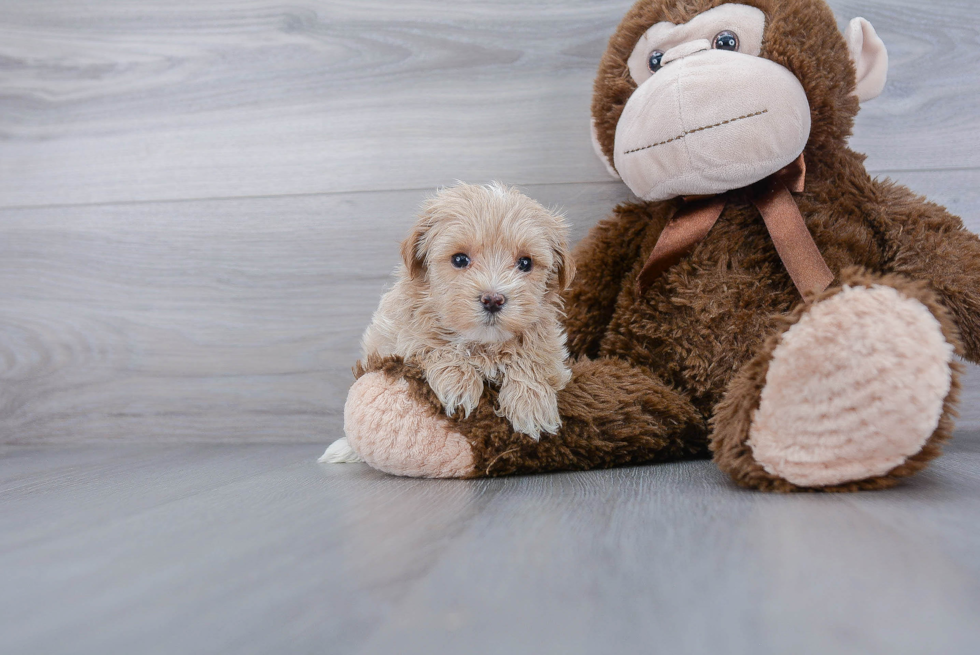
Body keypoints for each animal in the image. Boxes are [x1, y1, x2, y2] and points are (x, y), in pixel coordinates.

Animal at [362, 182, 576, 440]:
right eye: (460, 259)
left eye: (525, 263)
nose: (493, 300)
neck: (484, 344)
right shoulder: (400, 335)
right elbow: (433, 344)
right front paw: (457, 382)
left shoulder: (550, 345)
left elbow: (534, 358)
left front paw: (532, 405)